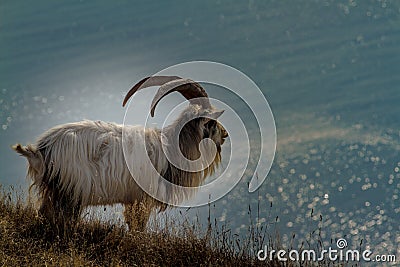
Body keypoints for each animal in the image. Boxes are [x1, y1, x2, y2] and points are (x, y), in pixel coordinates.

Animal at [13, 76, 228, 233]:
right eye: (212, 122)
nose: (225, 135)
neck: (170, 150)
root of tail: (41, 150)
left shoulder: (132, 200)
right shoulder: (142, 199)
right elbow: (138, 227)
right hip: (69, 191)